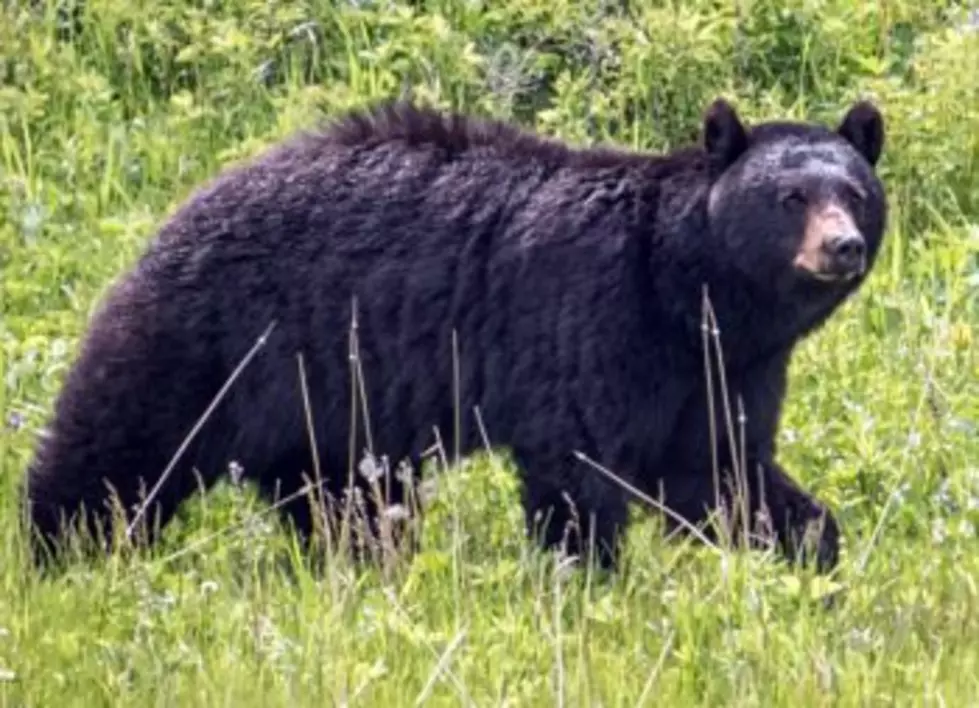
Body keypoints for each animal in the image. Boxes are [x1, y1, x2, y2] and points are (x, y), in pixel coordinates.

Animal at [23, 95, 888, 576]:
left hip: (331, 409)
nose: (840, 246)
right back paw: (62, 558)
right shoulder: (594, 318)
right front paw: (587, 583)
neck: (687, 287)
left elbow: (720, 467)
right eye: (789, 196)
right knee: (118, 451)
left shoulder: (720, 368)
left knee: (347, 502)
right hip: (207, 339)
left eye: (853, 192)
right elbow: (575, 469)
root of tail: (184, 203)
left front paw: (812, 555)